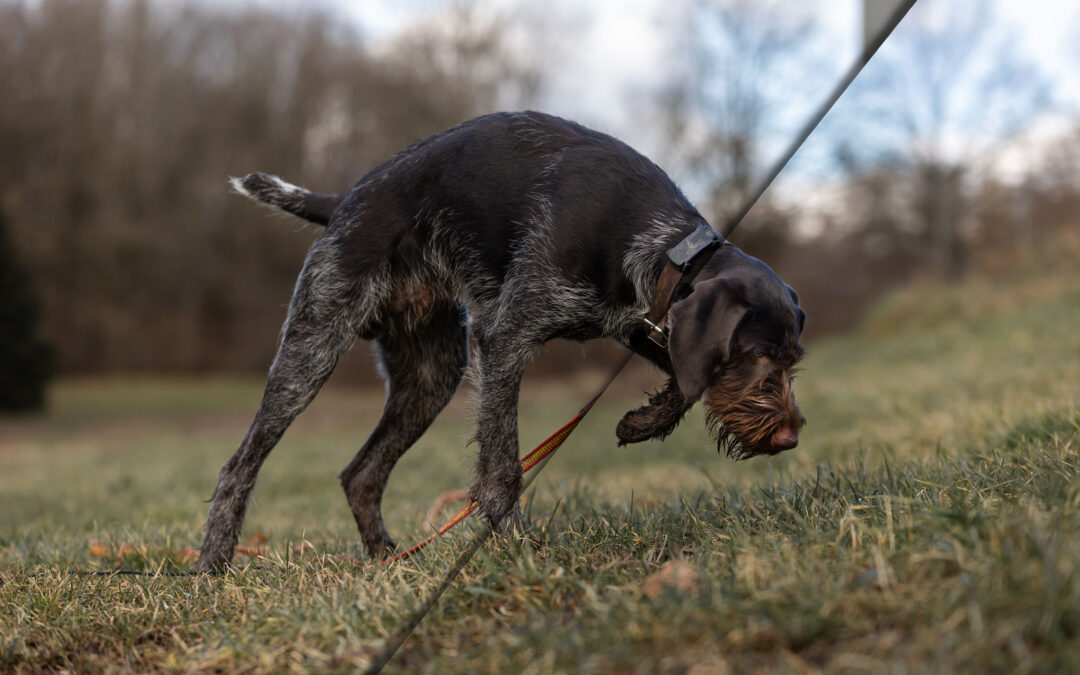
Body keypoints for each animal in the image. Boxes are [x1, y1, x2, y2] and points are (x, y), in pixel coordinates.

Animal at [196, 109, 803, 570]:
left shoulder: (643, 322)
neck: (660, 243)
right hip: (313, 347)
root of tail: (343, 200)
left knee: (360, 475)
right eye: (756, 355)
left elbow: (682, 377)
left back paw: (387, 560)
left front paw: (641, 422)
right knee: (238, 466)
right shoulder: (506, 336)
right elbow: (503, 462)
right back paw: (213, 566)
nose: (789, 437)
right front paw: (514, 543)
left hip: (431, 375)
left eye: (793, 361)